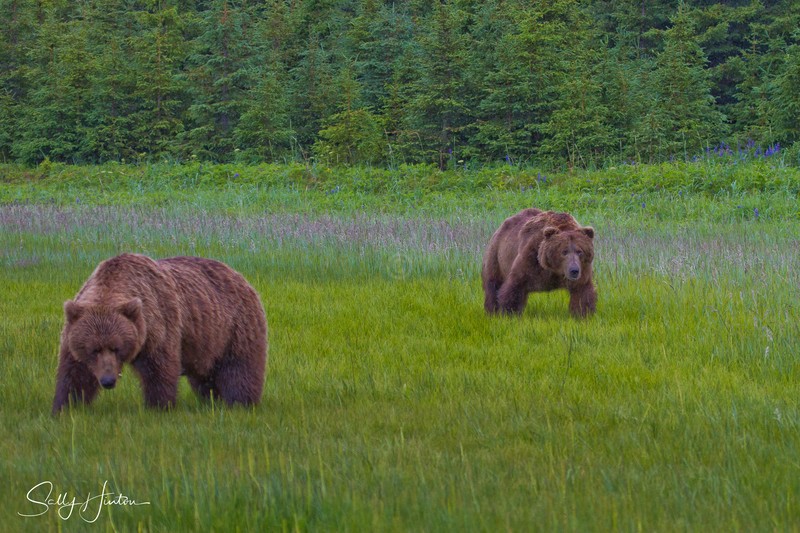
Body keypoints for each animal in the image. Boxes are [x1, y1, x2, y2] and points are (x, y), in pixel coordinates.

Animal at [52, 253, 268, 414]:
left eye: (116, 348)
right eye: (94, 350)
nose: (108, 381)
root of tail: (240, 276)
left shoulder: (157, 323)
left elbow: (159, 368)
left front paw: (158, 407)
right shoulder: (74, 334)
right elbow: (74, 373)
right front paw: (66, 407)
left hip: (235, 328)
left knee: (239, 368)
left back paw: (240, 403)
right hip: (205, 342)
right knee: (205, 377)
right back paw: (213, 400)